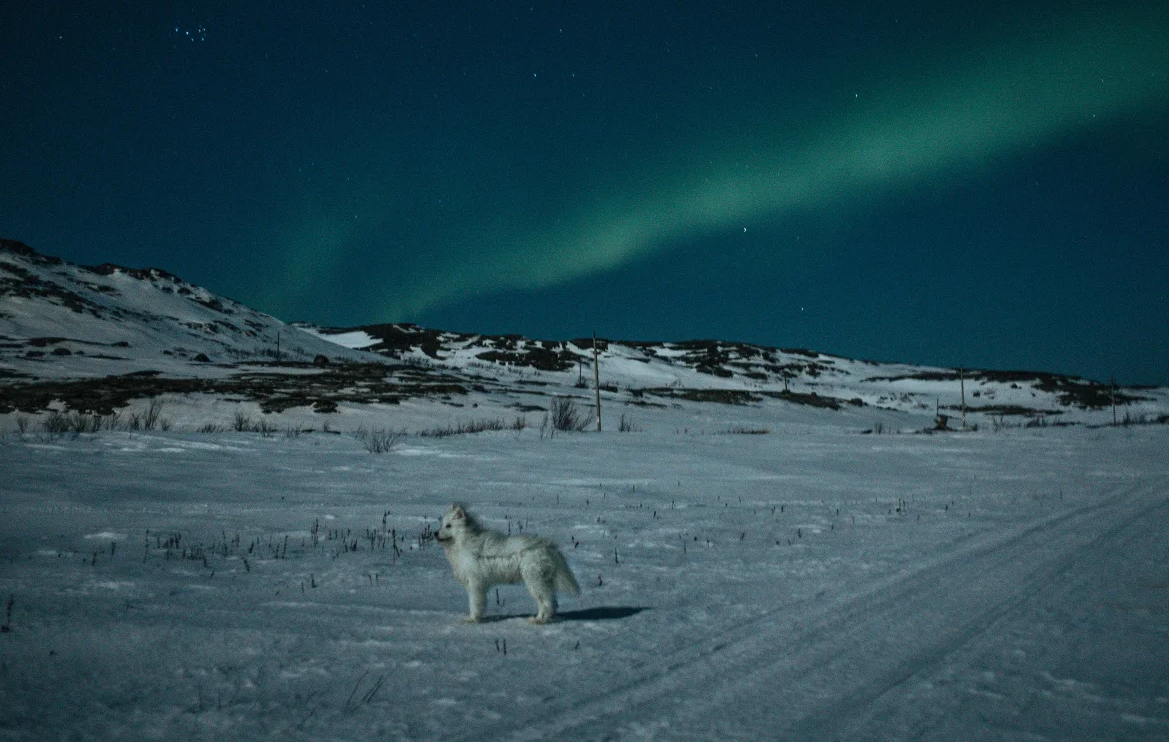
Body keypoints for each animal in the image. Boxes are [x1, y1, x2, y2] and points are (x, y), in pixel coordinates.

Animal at [434, 504, 579, 621]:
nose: (435, 533)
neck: (463, 541)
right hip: (542, 581)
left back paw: (538, 620)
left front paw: (472, 619)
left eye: (448, 525)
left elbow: (475, 603)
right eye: (441, 524)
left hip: (535, 580)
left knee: (546, 602)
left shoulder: (476, 583)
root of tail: (548, 547)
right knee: (552, 602)